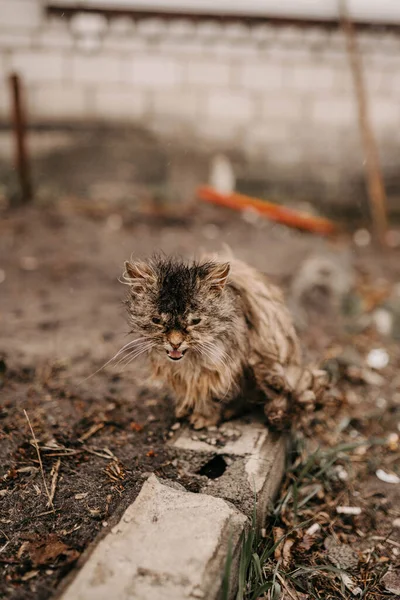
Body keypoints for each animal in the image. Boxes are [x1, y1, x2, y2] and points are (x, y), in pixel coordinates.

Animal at [122, 253, 328, 432]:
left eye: (195, 321)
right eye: (156, 320)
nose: (175, 343)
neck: (189, 364)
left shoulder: (222, 372)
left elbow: (214, 398)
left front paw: (205, 417)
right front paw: (185, 408)